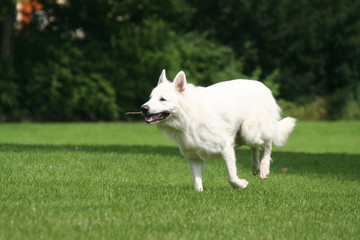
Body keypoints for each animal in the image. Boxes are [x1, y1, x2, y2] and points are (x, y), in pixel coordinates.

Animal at [141, 69, 296, 191]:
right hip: (243, 135)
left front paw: (241, 184)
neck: (189, 115)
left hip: (251, 131)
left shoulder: (226, 149)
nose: (143, 108)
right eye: (150, 98)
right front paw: (200, 192)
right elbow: (197, 180)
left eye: (163, 99)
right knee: (255, 147)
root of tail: (264, 86)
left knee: (268, 143)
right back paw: (255, 167)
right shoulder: (194, 156)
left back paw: (264, 168)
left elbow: (232, 176)